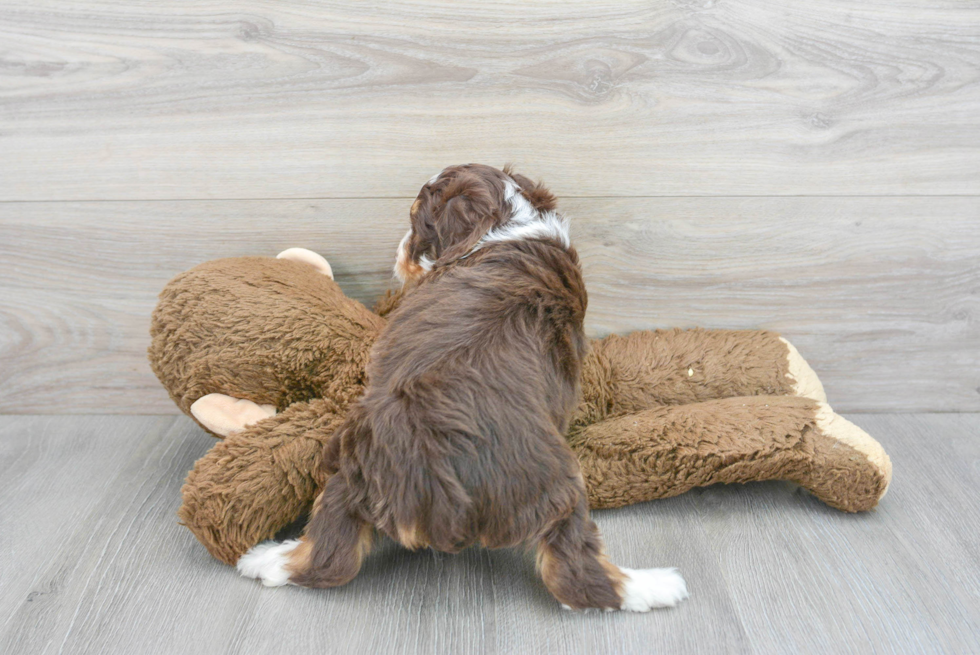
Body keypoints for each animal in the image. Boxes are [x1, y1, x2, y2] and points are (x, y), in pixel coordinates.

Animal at [235, 165, 688, 616]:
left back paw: (262, 560)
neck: (506, 222)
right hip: (559, 491)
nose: (399, 252)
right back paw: (658, 586)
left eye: (416, 223)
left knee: (328, 556)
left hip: (347, 475)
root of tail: (425, 460)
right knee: (578, 577)